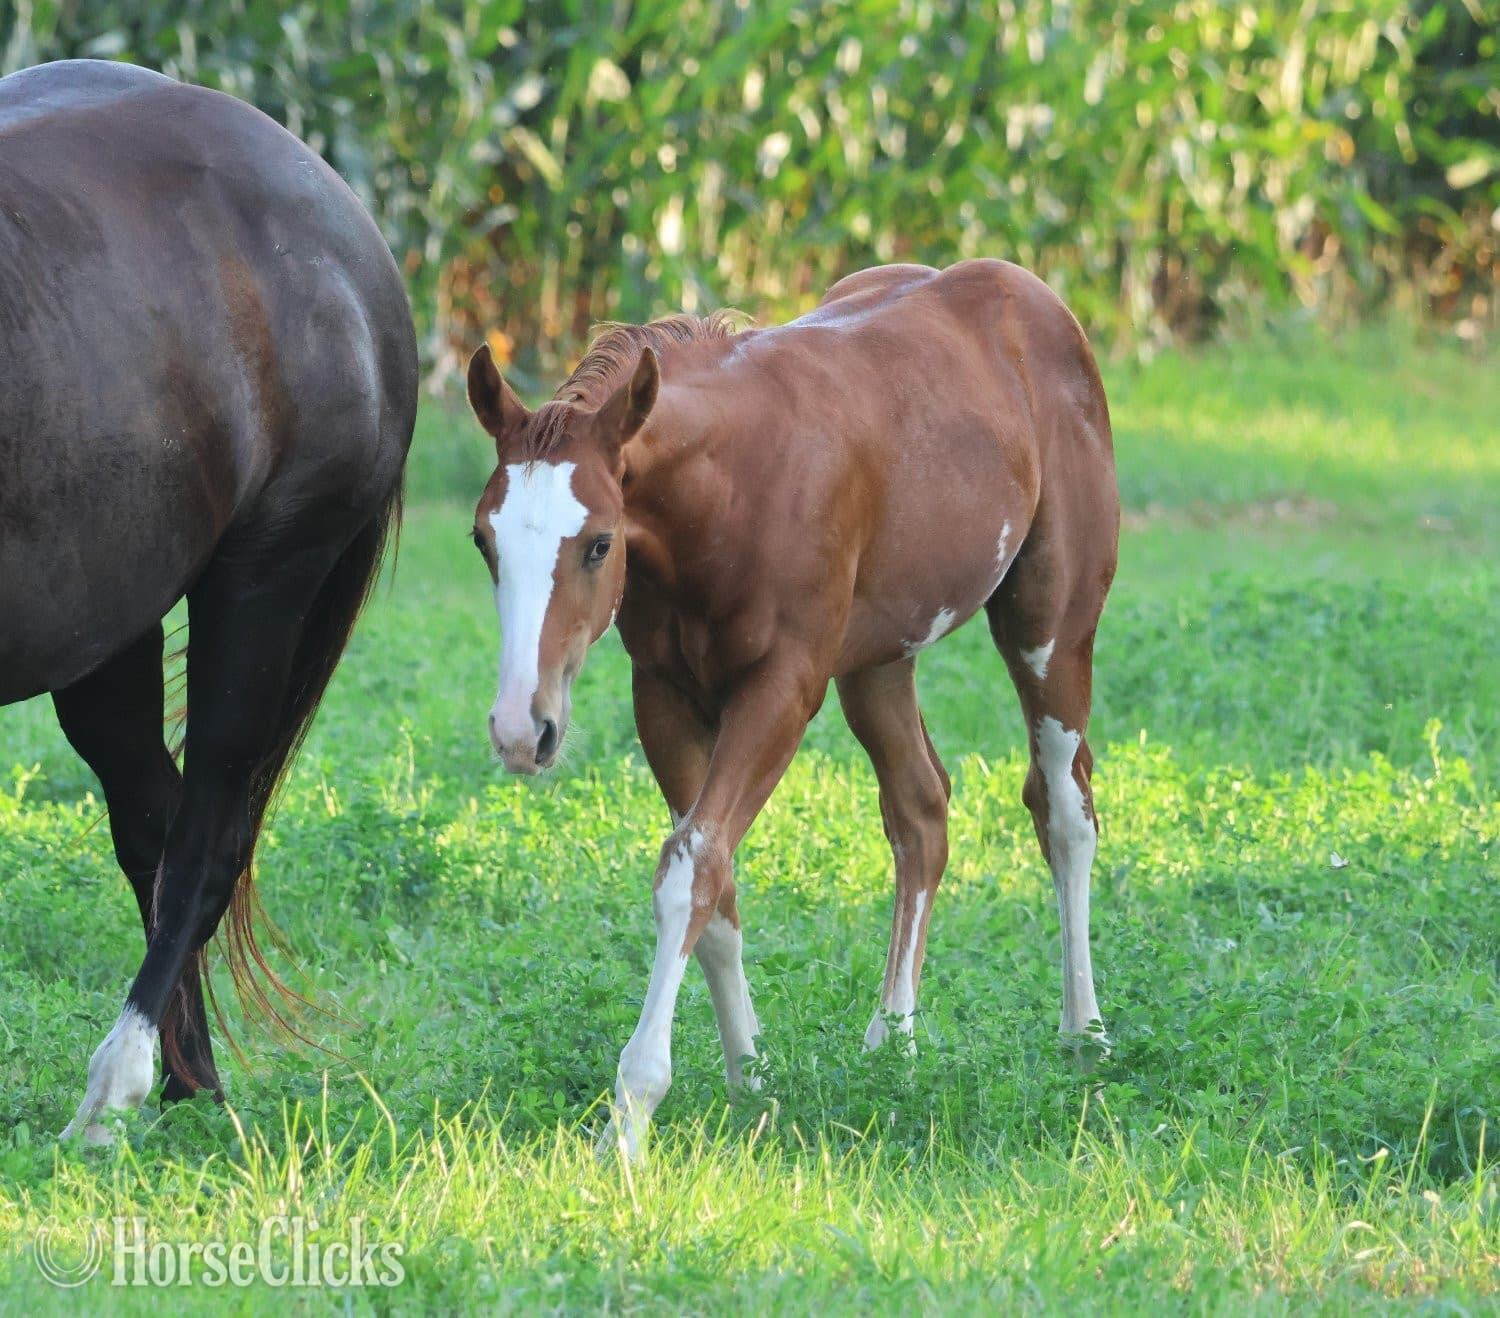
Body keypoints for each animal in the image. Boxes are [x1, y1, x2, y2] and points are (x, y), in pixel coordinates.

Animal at [0, 61, 417, 1142]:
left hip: (263, 581)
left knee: (206, 838)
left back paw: (116, 1092)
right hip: (111, 627)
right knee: (152, 822)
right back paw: (191, 1084)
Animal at [465, 259, 1118, 1158]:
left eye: (598, 543)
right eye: (482, 540)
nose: (519, 730)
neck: (732, 492)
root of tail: (1037, 298)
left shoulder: (781, 690)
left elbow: (689, 868)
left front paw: (629, 1116)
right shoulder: (662, 695)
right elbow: (713, 878)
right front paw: (753, 1084)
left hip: (1049, 629)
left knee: (1063, 805)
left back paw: (1083, 1036)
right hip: (880, 660)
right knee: (920, 810)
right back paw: (893, 1043)